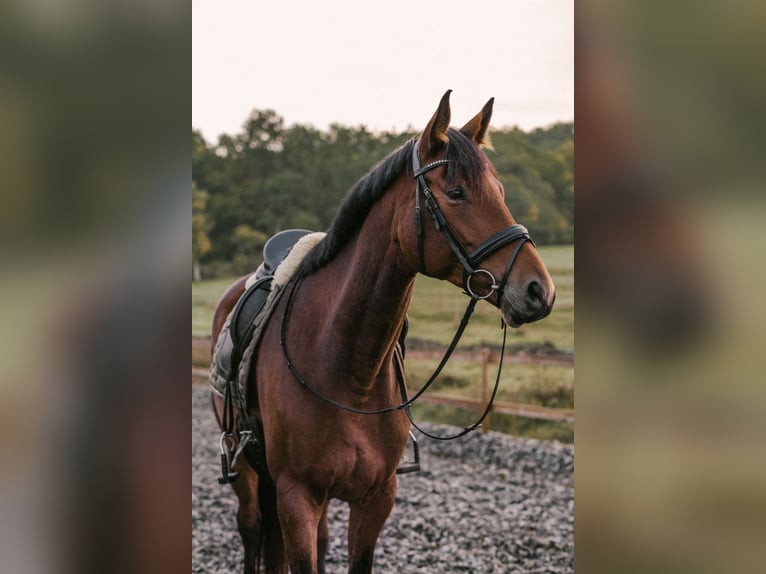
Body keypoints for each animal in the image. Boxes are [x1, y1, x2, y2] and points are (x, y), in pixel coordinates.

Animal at [212, 92, 560, 572]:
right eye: (456, 192)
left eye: (501, 193)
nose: (538, 290)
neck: (346, 370)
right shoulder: (297, 496)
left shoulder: (375, 499)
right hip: (246, 468)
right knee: (250, 530)